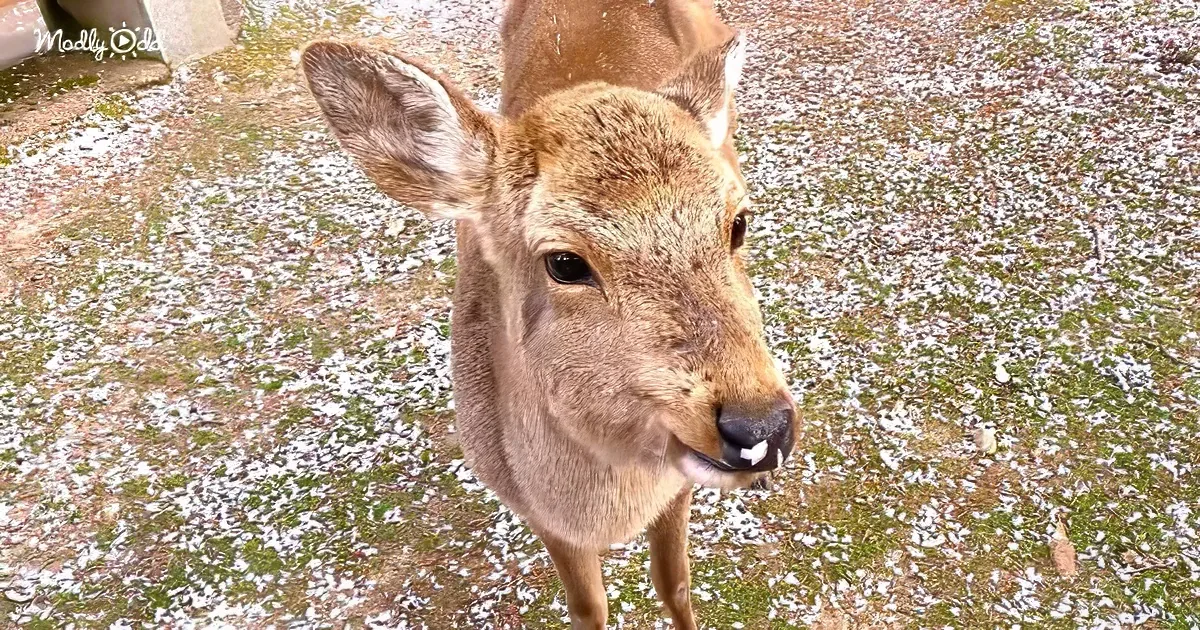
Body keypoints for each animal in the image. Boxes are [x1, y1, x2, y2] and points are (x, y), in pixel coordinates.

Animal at [300, 0, 796, 627]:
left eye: (738, 223)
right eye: (564, 262)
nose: (762, 429)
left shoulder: (677, 485)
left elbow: (675, 583)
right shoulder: (534, 509)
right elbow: (588, 608)